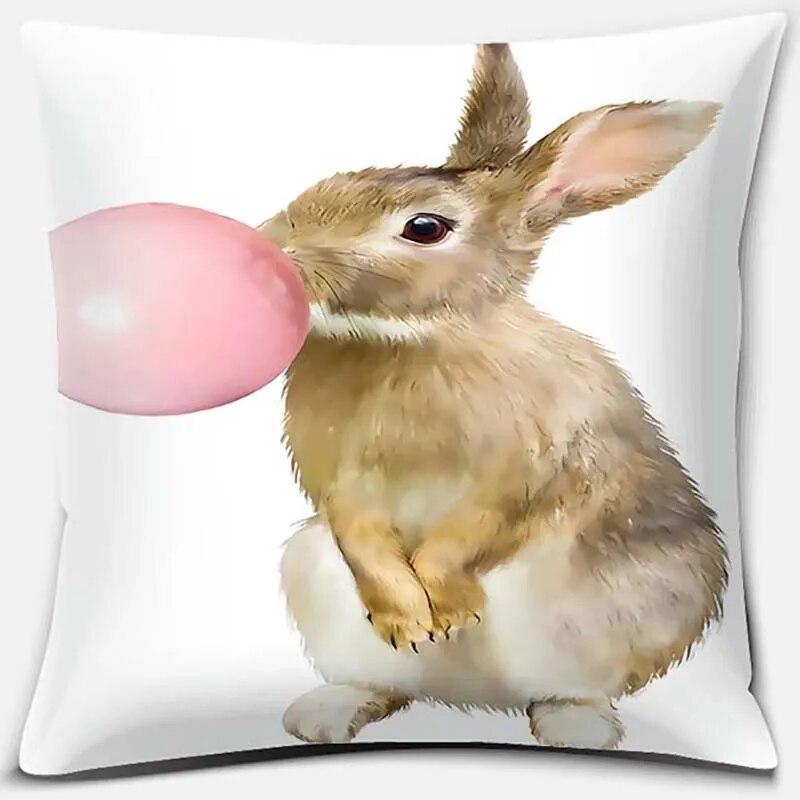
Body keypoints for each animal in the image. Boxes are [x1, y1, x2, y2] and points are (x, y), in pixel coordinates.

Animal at [260, 43, 727, 750]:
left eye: (425, 227)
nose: (274, 246)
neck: (411, 341)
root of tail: (475, 700)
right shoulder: (340, 485)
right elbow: (363, 535)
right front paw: (414, 620)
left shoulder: (530, 465)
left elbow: (473, 529)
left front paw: (450, 610)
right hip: (313, 573)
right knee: (386, 681)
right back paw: (329, 710)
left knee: (568, 686)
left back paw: (574, 727)